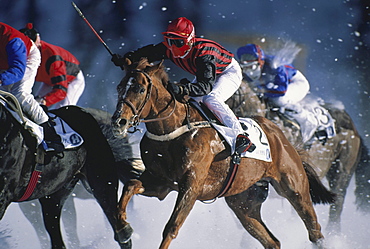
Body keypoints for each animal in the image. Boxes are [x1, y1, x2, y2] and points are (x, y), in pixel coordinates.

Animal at [111, 57, 334, 248]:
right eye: (120, 87)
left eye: (140, 89)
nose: (119, 121)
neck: (174, 130)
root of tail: (279, 135)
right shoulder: (162, 183)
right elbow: (130, 186)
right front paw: (123, 230)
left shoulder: (191, 185)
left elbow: (171, 227)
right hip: (243, 203)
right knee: (272, 241)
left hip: (295, 188)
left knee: (314, 231)